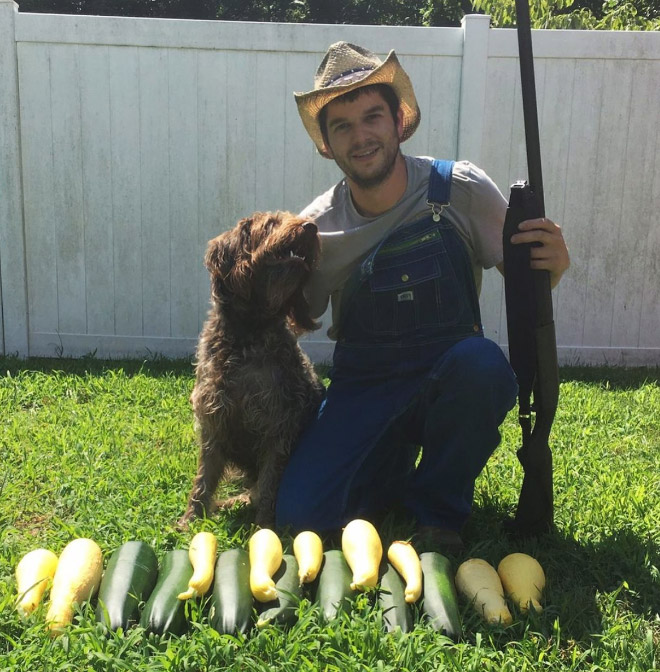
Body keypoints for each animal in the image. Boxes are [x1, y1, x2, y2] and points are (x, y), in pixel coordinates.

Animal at [178, 213, 324, 528]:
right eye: (270, 223)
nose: (311, 227)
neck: (248, 335)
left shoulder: (278, 428)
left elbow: (269, 484)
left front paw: (264, 526)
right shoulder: (213, 422)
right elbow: (204, 478)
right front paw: (190, 520)